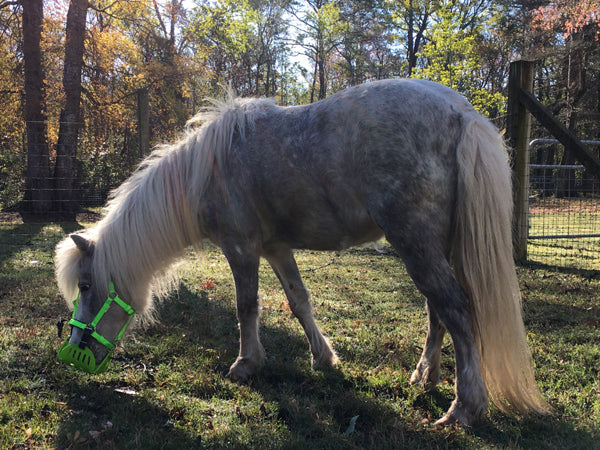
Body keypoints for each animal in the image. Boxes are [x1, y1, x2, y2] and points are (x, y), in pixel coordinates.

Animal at [54, 79, 552, 424]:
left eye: (86, 286)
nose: (76, 350)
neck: (207, 170)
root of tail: (462, 112)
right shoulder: (277, 248)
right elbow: (299, 302)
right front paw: (323, 359)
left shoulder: (242, 247)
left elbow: (246, 305)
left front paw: (245, 365)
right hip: (431, 246)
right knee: (438, 313)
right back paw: (423, 377)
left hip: (416, 243)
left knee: (457, 310)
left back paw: (464, 409)